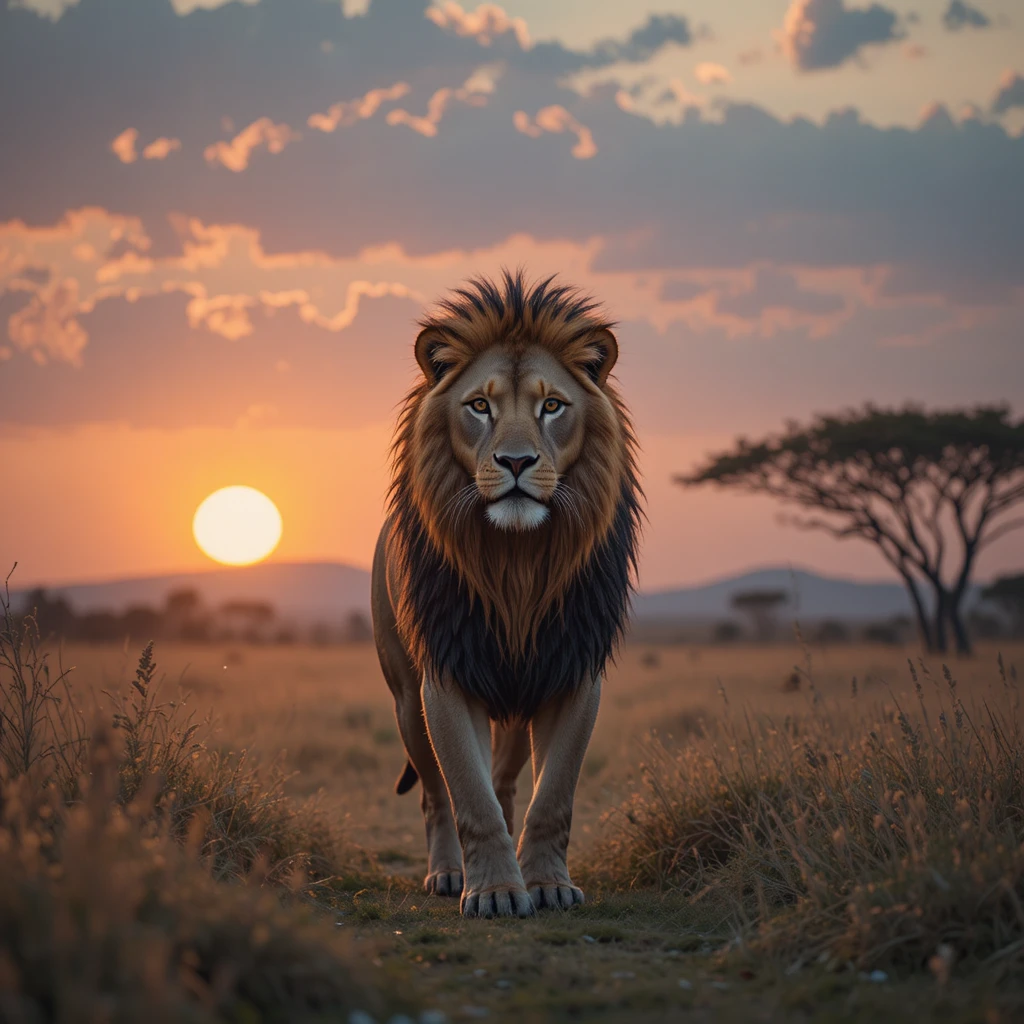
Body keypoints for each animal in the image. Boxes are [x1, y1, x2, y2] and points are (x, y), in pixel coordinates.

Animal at [371, 271, 641, 918]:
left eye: (552, 405)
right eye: (479, 406)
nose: (516, 461)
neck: (516, 564)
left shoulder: (572, 671)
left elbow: (552, 797)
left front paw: (546, 884)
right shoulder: (444, 675)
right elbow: (467, 796)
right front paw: (493, 891)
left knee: (506, 781)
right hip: (405, 701)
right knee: (436, 795)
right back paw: (449, 873)